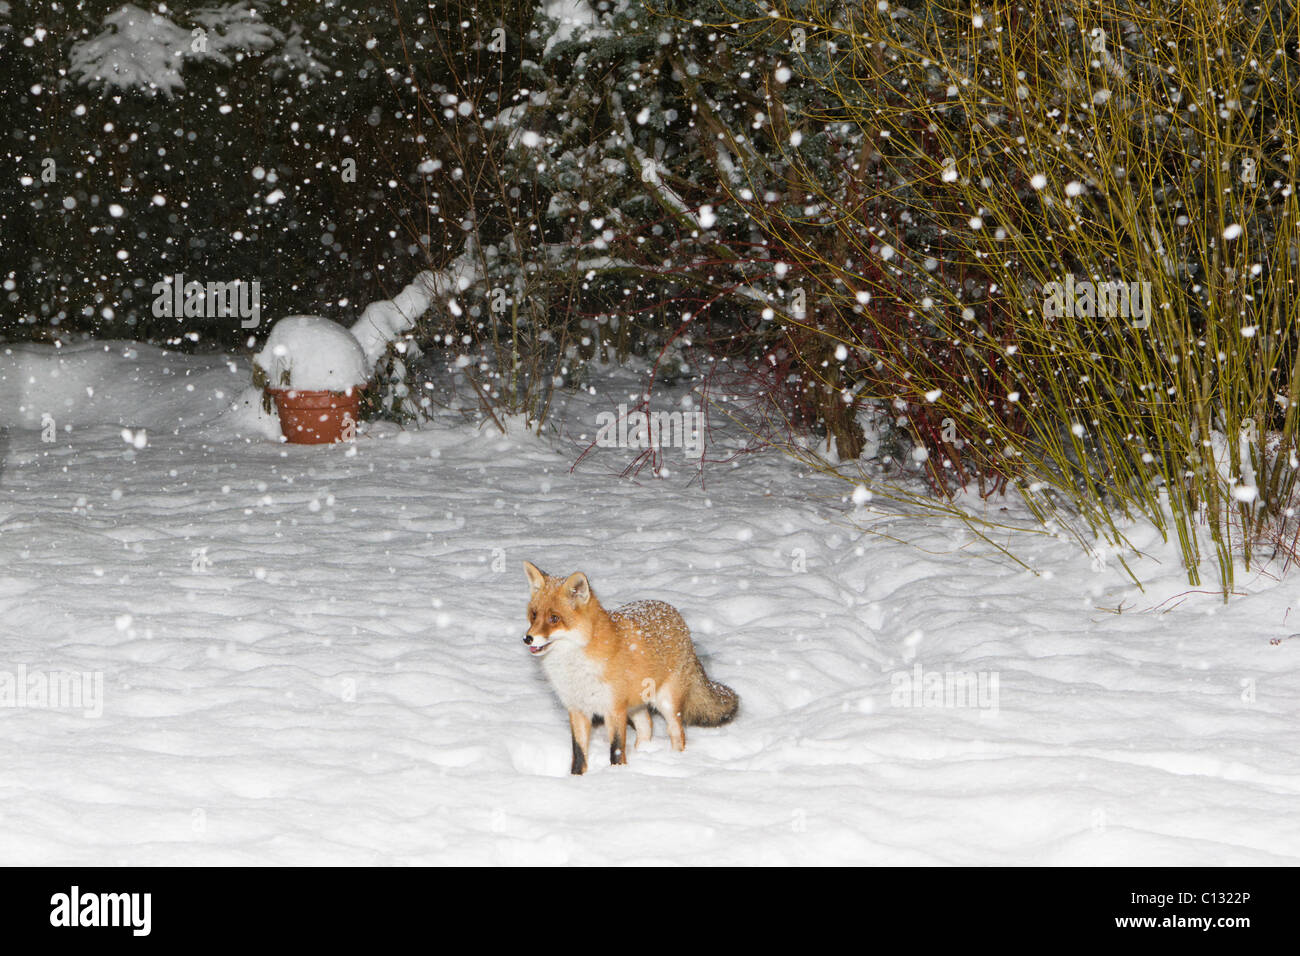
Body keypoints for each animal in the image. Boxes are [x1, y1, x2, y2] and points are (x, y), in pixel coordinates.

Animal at [522, 561, 738, 775]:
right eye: (534, 615)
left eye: (554, 618)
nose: (527, 638)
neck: (575, 666)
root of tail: (676, 614)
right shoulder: (577, 709)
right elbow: (579, 753)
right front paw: (577, 778)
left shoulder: (614, 709)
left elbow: (616, 750)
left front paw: (618, 775)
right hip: (636, 704)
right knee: (647, 726)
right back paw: (644, 754)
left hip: (666, 702)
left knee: (677, 733)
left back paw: (675, 760)